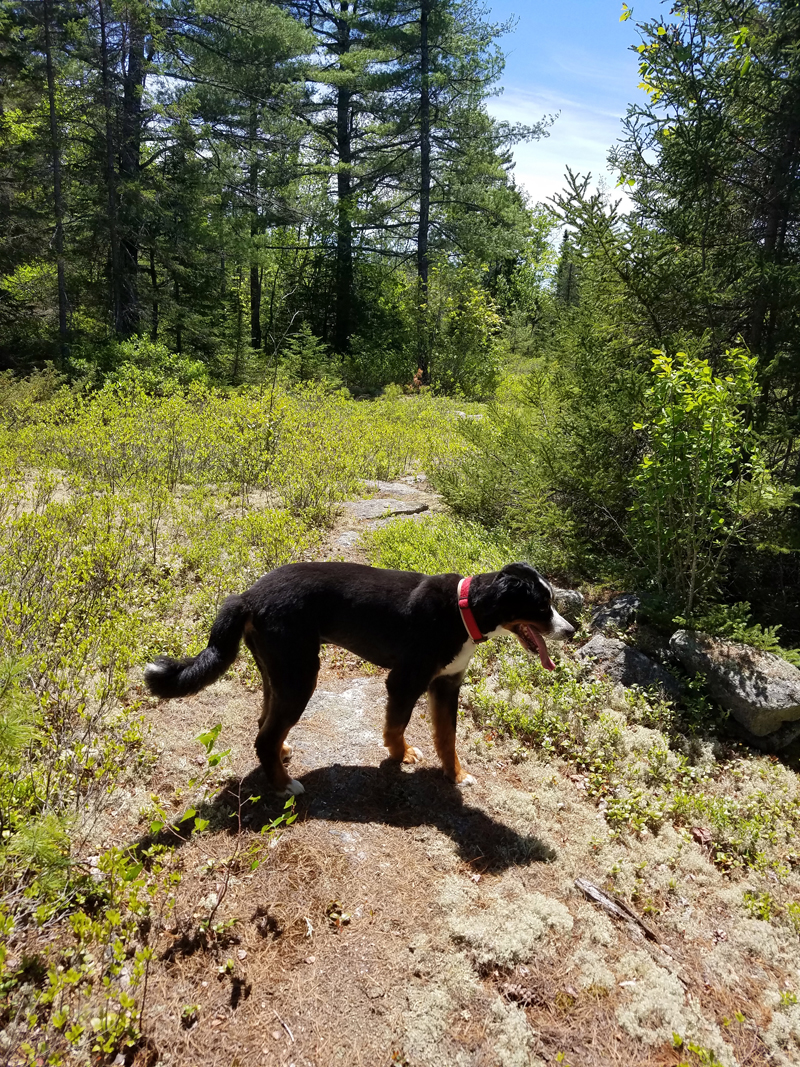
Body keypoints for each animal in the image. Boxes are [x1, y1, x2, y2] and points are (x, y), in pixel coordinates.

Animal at [146, 559, 576, 793]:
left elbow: (447, 738)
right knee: (264, 736)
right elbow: (396, 726)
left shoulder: (447, 685)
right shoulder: (405, 681)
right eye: (542, 606)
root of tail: (247, 596)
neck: (462, 608)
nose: (570, 631)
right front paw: (400, 755)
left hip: (279, 673)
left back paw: (281, 757)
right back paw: (284, 785)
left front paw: (456, 775)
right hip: (301, 676)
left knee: (264, 723)